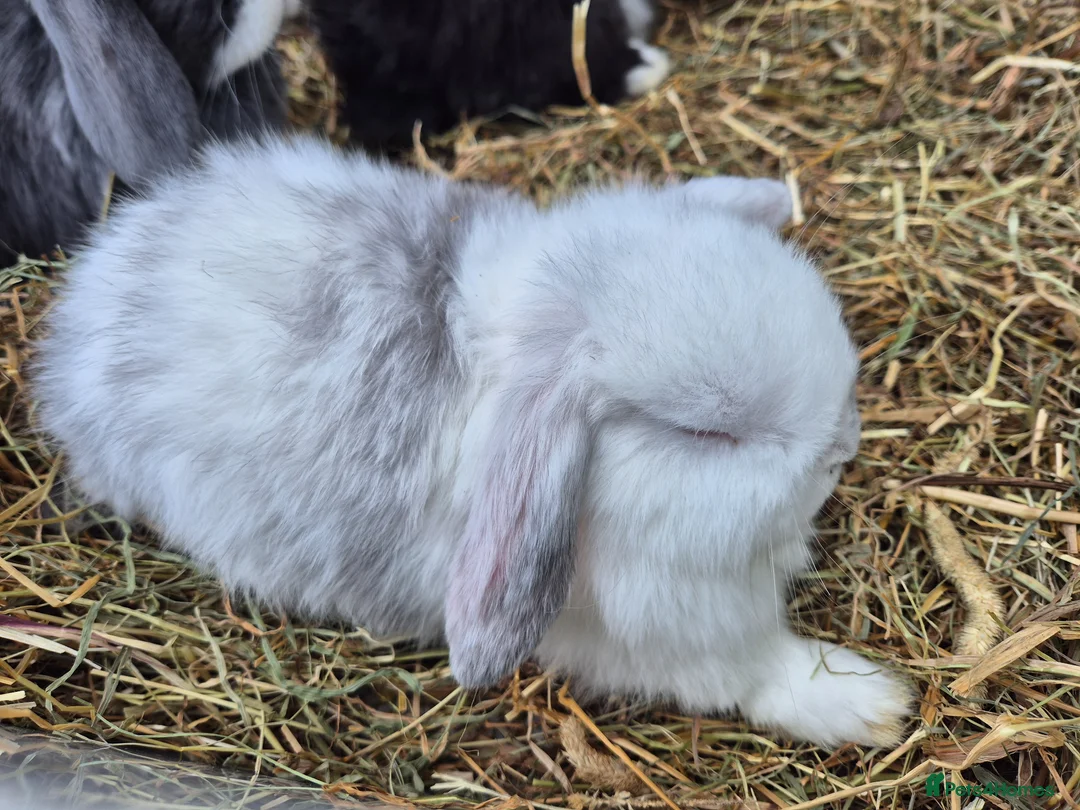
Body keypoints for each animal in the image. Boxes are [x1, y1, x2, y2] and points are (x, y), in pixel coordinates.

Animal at [32, 134, 913, 749]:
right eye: (705, 431)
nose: (842, 449)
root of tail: (90, 286)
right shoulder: (652, 635)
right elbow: (751, 670)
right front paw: (873, 703)